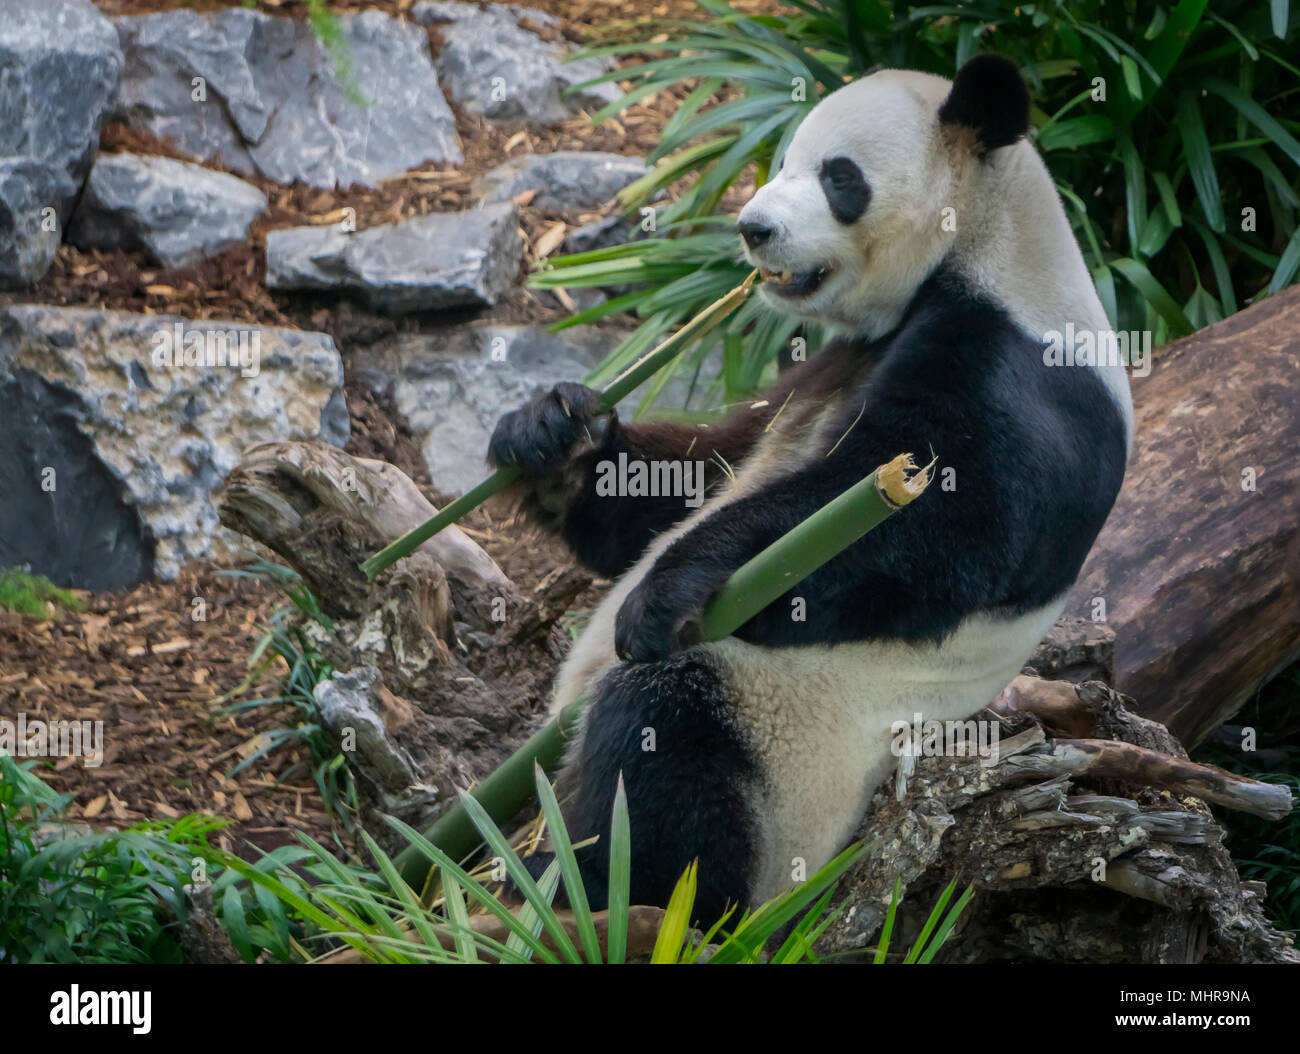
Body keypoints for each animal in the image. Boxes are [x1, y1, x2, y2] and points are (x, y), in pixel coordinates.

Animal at [487, 54, 1132, 923]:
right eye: (784, 158)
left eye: (839, 176)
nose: (752, 229)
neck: (991, 252)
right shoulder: (825, 365)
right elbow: (699, 473)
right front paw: (551, 434)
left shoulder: (1020, 376)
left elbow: (923, 534)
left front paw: (668, 587)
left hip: (787, 750)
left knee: (664, 736)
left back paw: (588, 891)